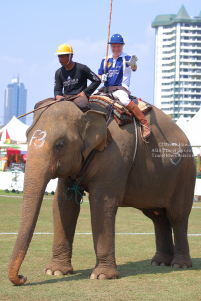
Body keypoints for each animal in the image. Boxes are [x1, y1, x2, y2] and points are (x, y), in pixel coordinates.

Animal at [8, 98, 196, 284]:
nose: (22, 277)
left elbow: (102, 203)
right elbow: (63, 204)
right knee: (158, 217)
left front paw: (102, 276)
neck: (87, 112)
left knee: (177, 216)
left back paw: (179, 265)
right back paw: (160, 262)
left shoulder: (115, 155)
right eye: (26, 136)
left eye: (60, 144)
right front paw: (55, 272)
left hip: (185, 173)